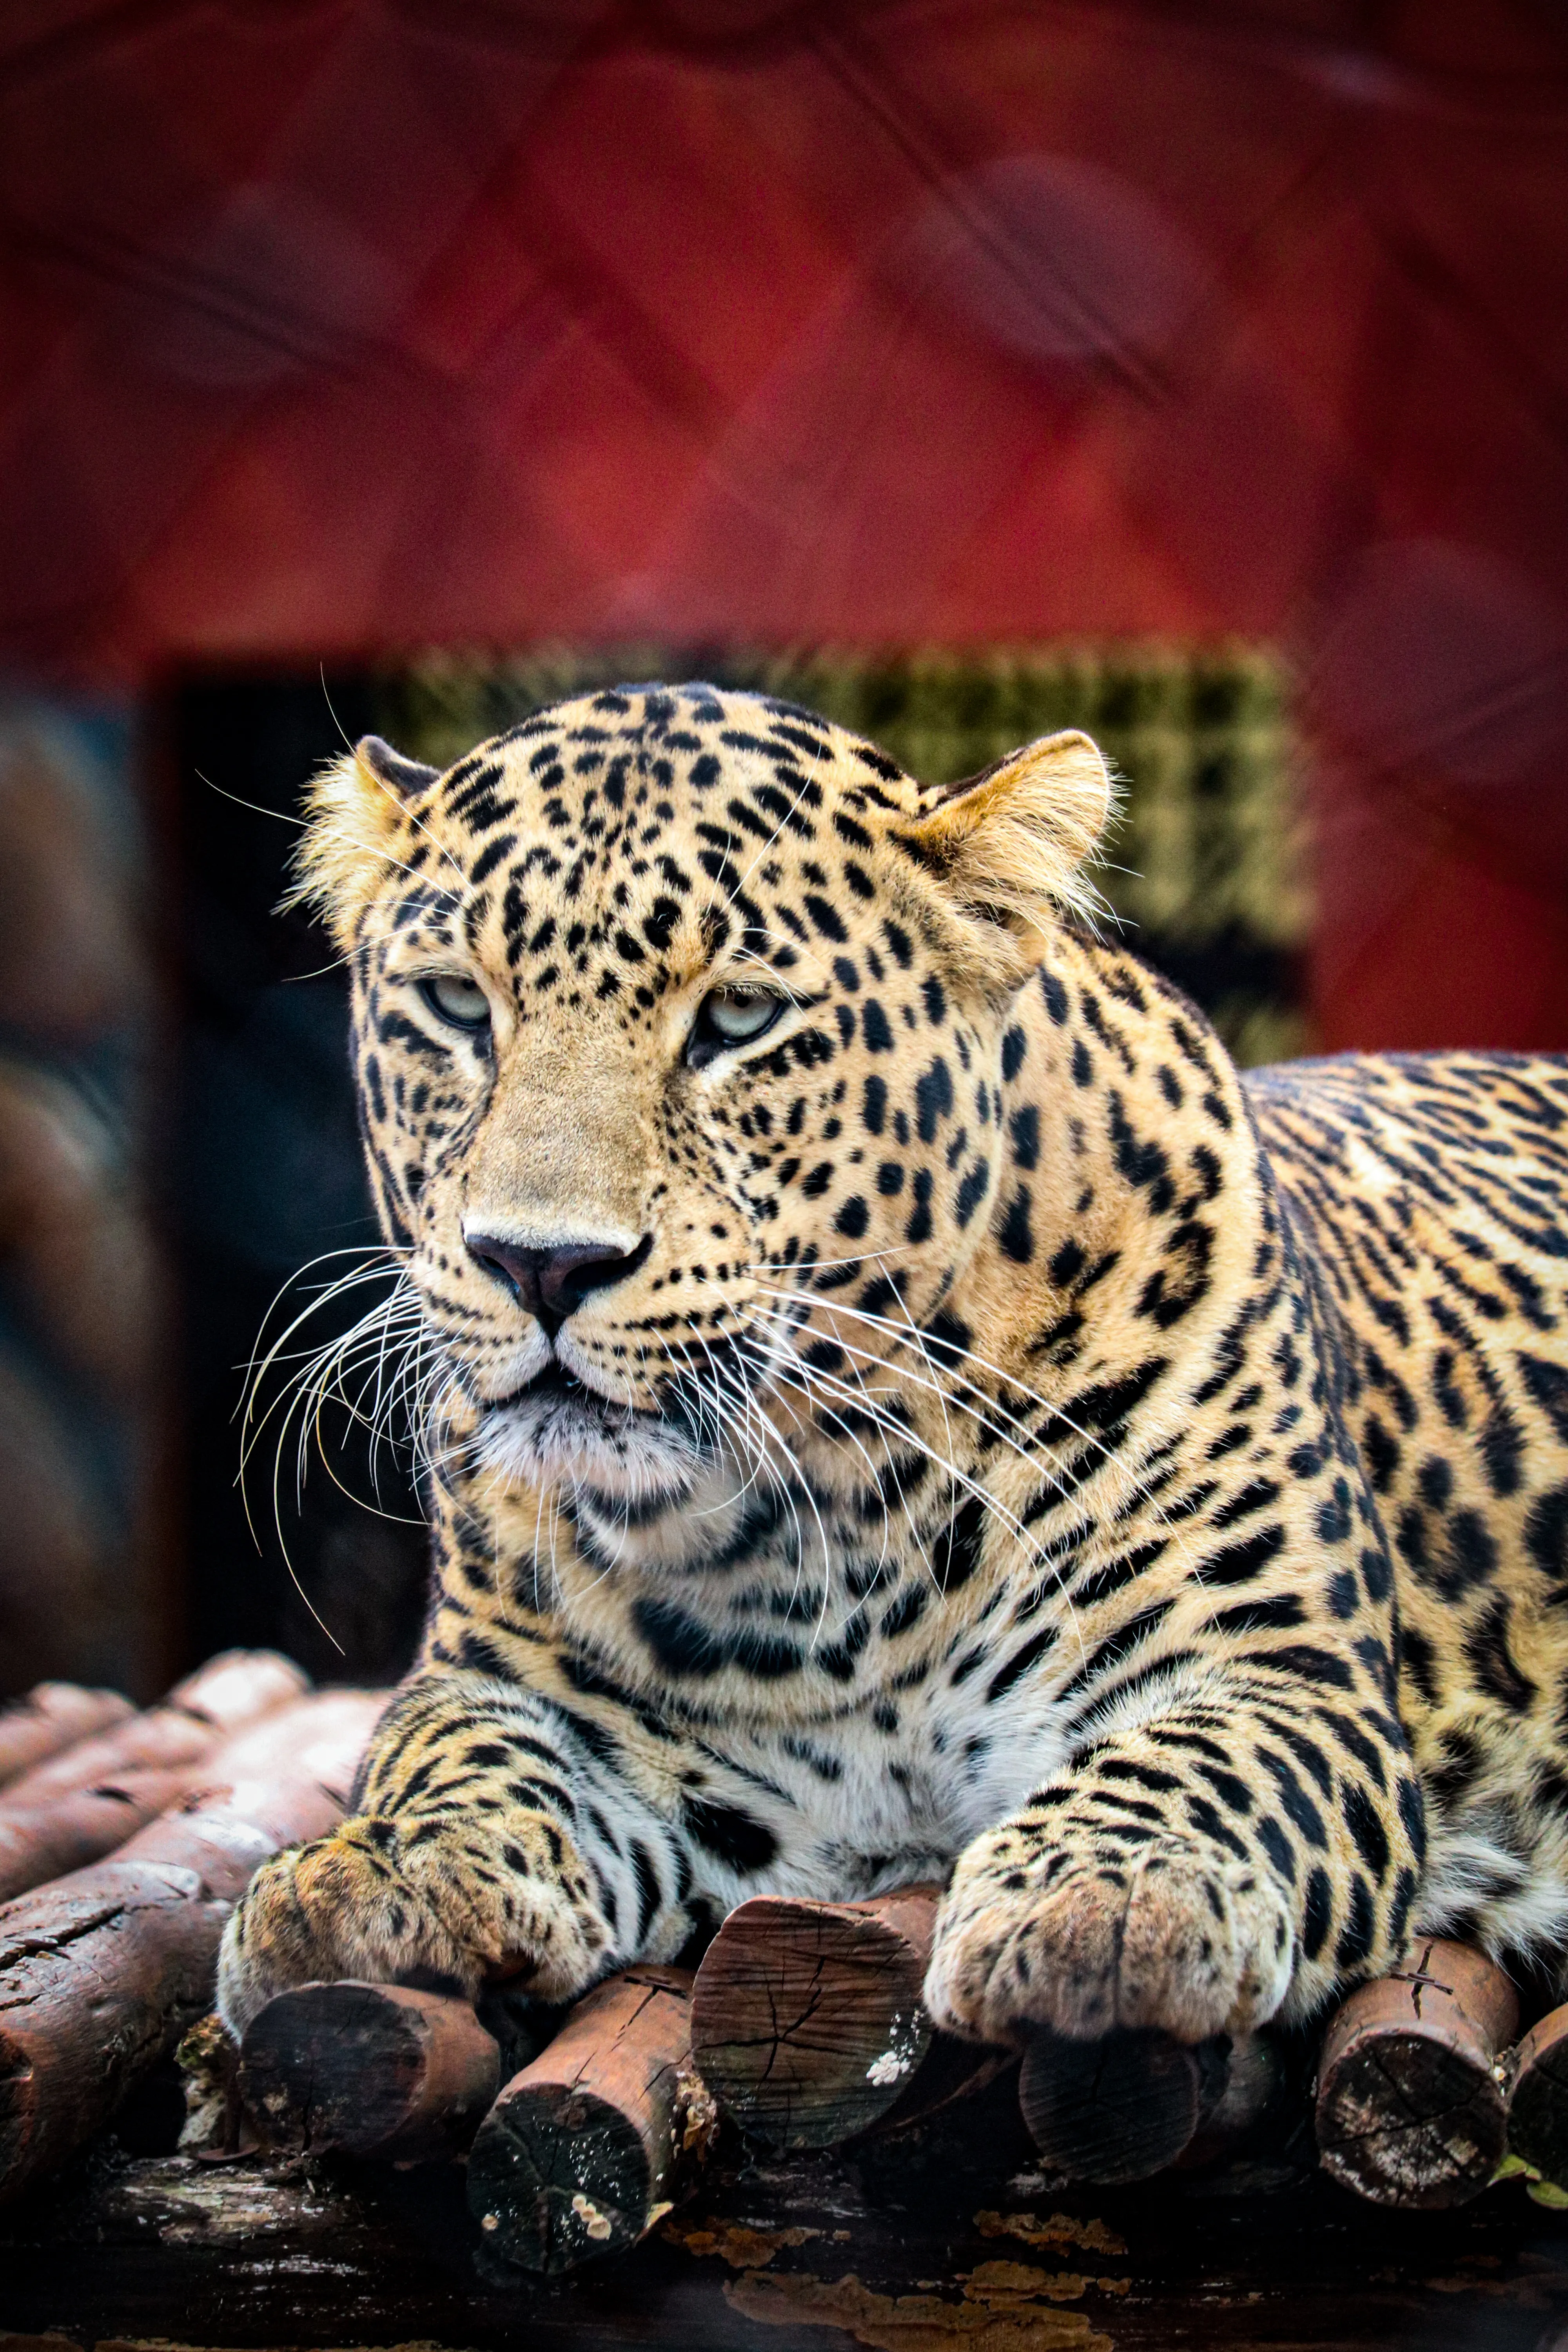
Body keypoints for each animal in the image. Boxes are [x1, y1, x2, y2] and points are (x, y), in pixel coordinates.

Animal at [217, 681, 1568, 2077]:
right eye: (455, 1005)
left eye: (738, 1020)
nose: (540, 1265)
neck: (818, 1541)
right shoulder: (522, 1687)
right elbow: (449, 1753)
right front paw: (373, 1870)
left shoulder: (1280, 1667)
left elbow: (1203, 1759)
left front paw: (1107, 1892)